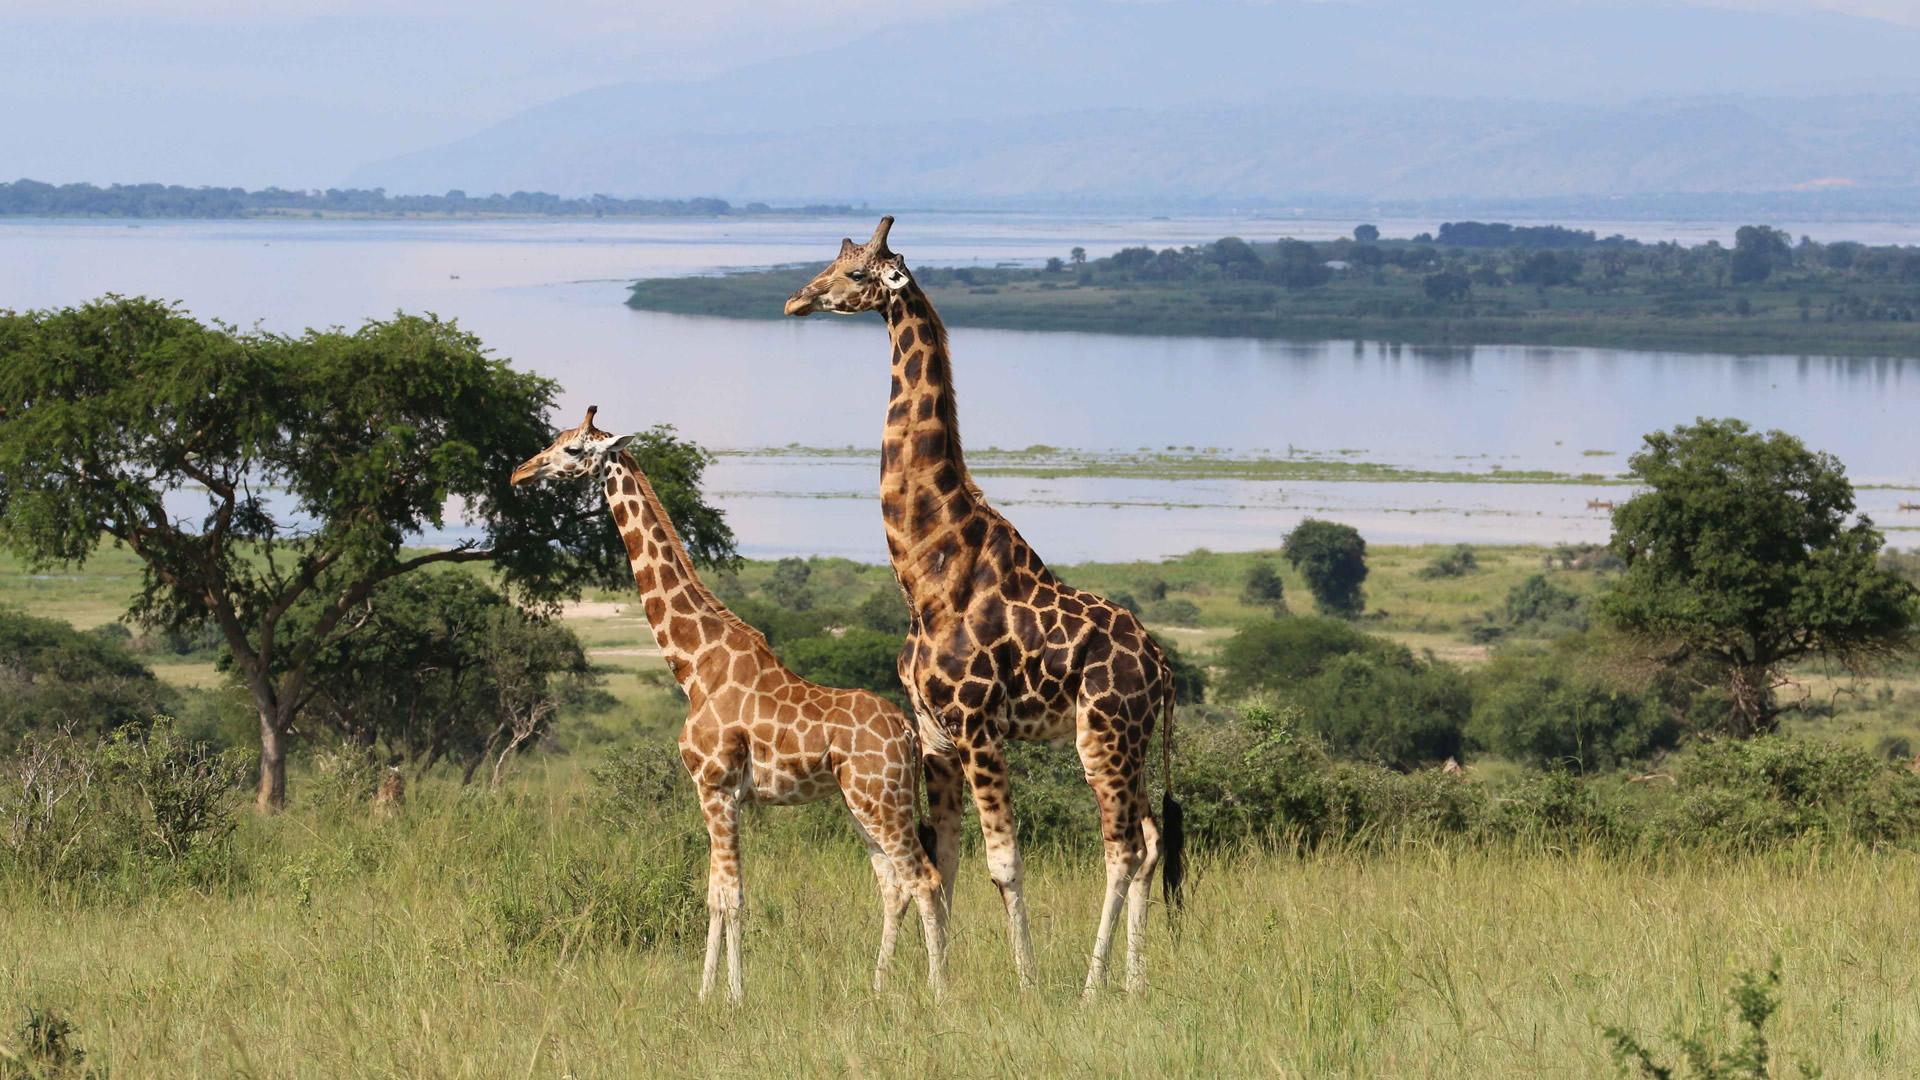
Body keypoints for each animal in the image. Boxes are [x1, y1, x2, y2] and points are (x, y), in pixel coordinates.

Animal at [511, 406, 946, 1003]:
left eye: (573, 449)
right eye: (555, 440)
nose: (521, 473)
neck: (695, 666)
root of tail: (908, 733)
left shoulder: (714, 787)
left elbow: (732, 895)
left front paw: (733, 997)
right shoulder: (720, 794)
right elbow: (715, 893)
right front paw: (704, 994)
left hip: (881, 798)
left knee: (923, 877)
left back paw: (939, 989)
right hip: (863, 802)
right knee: (893, 883)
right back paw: (878, 987)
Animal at [784, 218, 1185, 996]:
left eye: (855, 274)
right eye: (831, 263)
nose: (796, 300)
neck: (926, 569)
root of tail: (1162, 669)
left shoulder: (976, 727)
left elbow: (1004, 865)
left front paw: (1025, 982)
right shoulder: (935, 735)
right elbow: (941, 866)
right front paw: (929, 986)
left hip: (1105, 733)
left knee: (1121, 848)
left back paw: (1091, 988)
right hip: (1129, 739)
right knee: (1151, 842)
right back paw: (1134, 982)